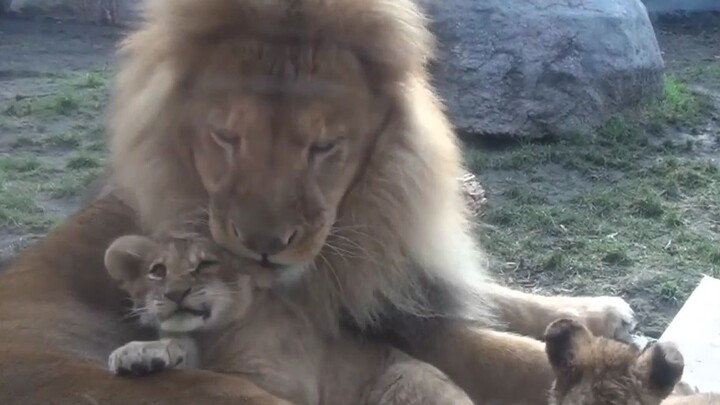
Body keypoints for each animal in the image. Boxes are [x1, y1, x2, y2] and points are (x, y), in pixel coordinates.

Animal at [104, 233, 473, 405]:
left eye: (205, 264)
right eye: (157, 271)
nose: (174, 293)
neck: (211, 334)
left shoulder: (286, 384)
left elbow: (213, 375)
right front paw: (139, 354)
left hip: (403, 379)